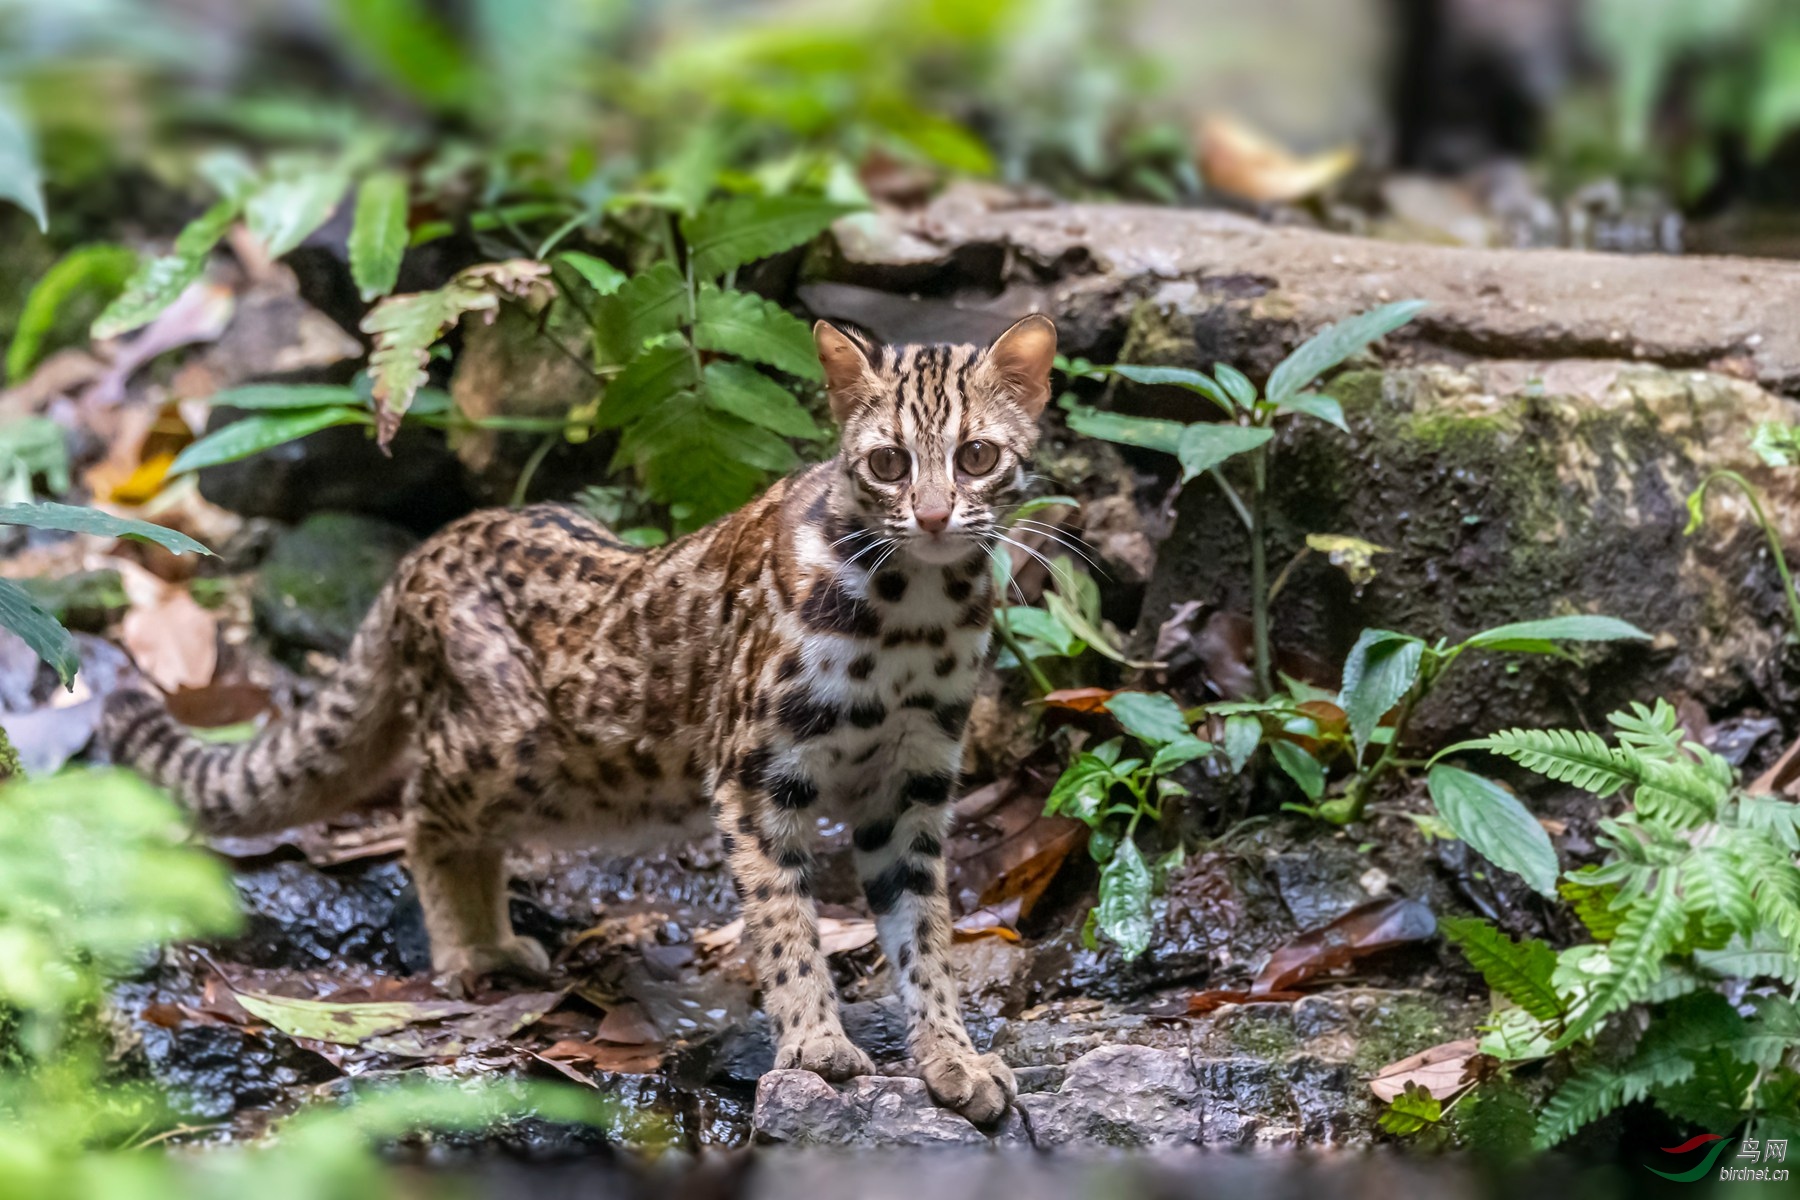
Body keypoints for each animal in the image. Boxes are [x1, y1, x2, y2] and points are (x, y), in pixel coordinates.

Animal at [98, 313, 1051, 1129]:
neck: (913, 612)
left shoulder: (912, 785)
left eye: (975, 456)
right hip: (509, 742)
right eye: (888, 464)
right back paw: (464, 951)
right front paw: (816, 1044)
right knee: (419, 808)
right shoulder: (754, 775)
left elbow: (924, 933)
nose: (933, 514)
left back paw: (494, 940)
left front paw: (951, 1056)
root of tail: (425, 551)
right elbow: (785, 925)